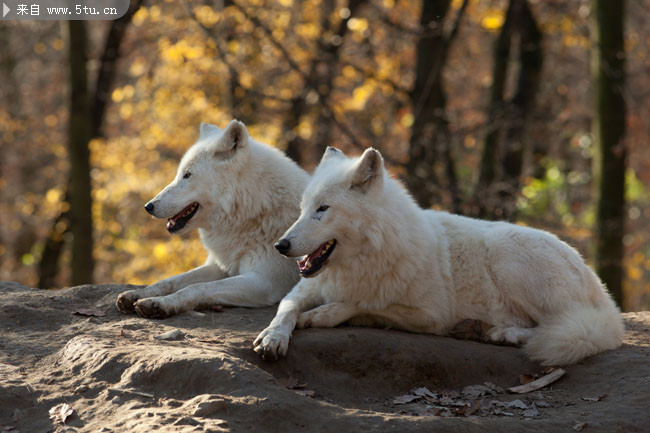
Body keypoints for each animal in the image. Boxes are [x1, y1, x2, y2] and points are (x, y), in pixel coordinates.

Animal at [115, 120, 308, 316]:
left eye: (187, 175)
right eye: (179, 174)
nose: (148, 206)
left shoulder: (264, 282)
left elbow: (197, 287)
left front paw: (160, 303)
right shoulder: (219, 266)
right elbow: (171, 280)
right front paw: (138, 294)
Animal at [253, 146, 624, 364]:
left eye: (323, 209)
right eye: (302, 209)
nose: (281, 246)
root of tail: (605, 298)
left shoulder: (431, 315)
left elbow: (363, 304)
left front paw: (322, 315)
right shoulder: (306, 286)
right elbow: (285, 309)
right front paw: (272, 337)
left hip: (505, 256)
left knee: (555, 329)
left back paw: (499, 333)